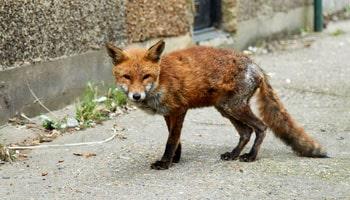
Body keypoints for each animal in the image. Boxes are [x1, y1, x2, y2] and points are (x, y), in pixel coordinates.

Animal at [106, 39, 328, 170]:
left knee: (261, 127)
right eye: (126, 76)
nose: (136, 96)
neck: (161, 80)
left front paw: (165, 163)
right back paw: (234, 154)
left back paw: (251, 156)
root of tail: (256, 66)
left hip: (235, 108)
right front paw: (175, 159)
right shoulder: (168, 113)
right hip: (226, 109)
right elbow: (175, 139)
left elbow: (171, 140)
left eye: (146, 76)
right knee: (246, 132)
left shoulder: (180, 109)